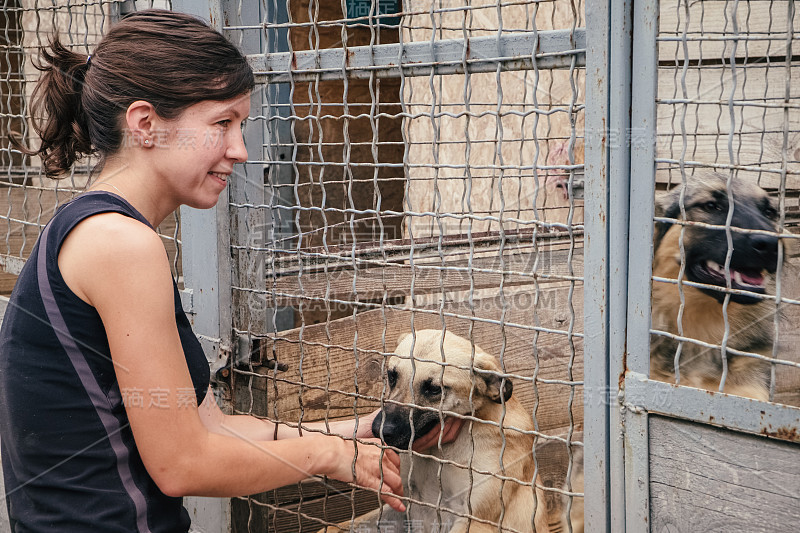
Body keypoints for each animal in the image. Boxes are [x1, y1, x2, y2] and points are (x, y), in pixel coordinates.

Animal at [324, 330, 580, 528]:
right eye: (392, 375)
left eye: (434, 389)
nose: (380, 429)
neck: (439, 452)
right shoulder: (404, 502)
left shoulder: (474, 518)